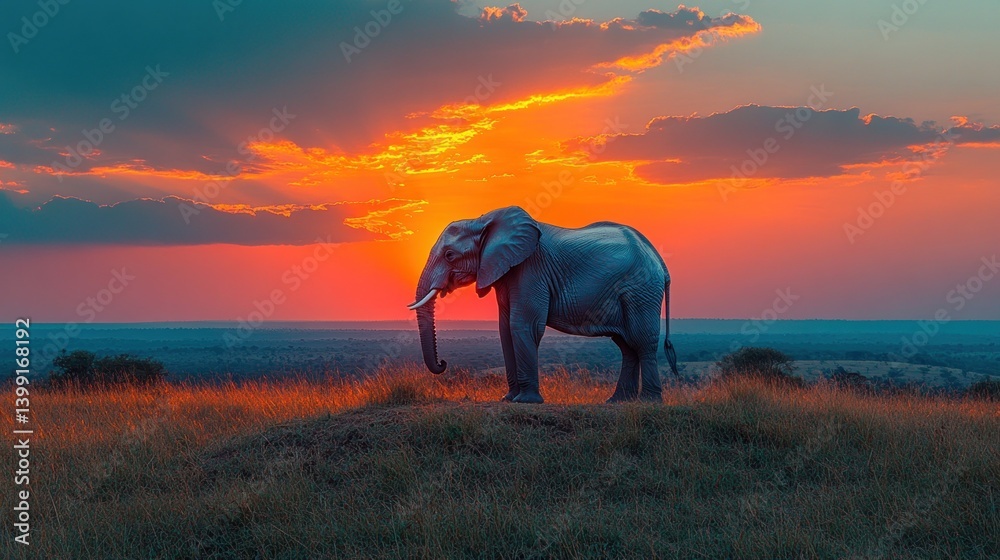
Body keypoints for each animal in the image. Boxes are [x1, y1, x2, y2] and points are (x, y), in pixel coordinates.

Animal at [408, 206, 679, 403]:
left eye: (450, 255)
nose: (443, 363)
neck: (484, 221)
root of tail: (659, 260)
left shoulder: (531, 269)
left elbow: (522, 325)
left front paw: (526, 401)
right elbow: (505, 329)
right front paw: (508, 399)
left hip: (641, 290)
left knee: (641, 341)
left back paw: (649, 402)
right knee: (626, 345)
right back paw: (618, 401)